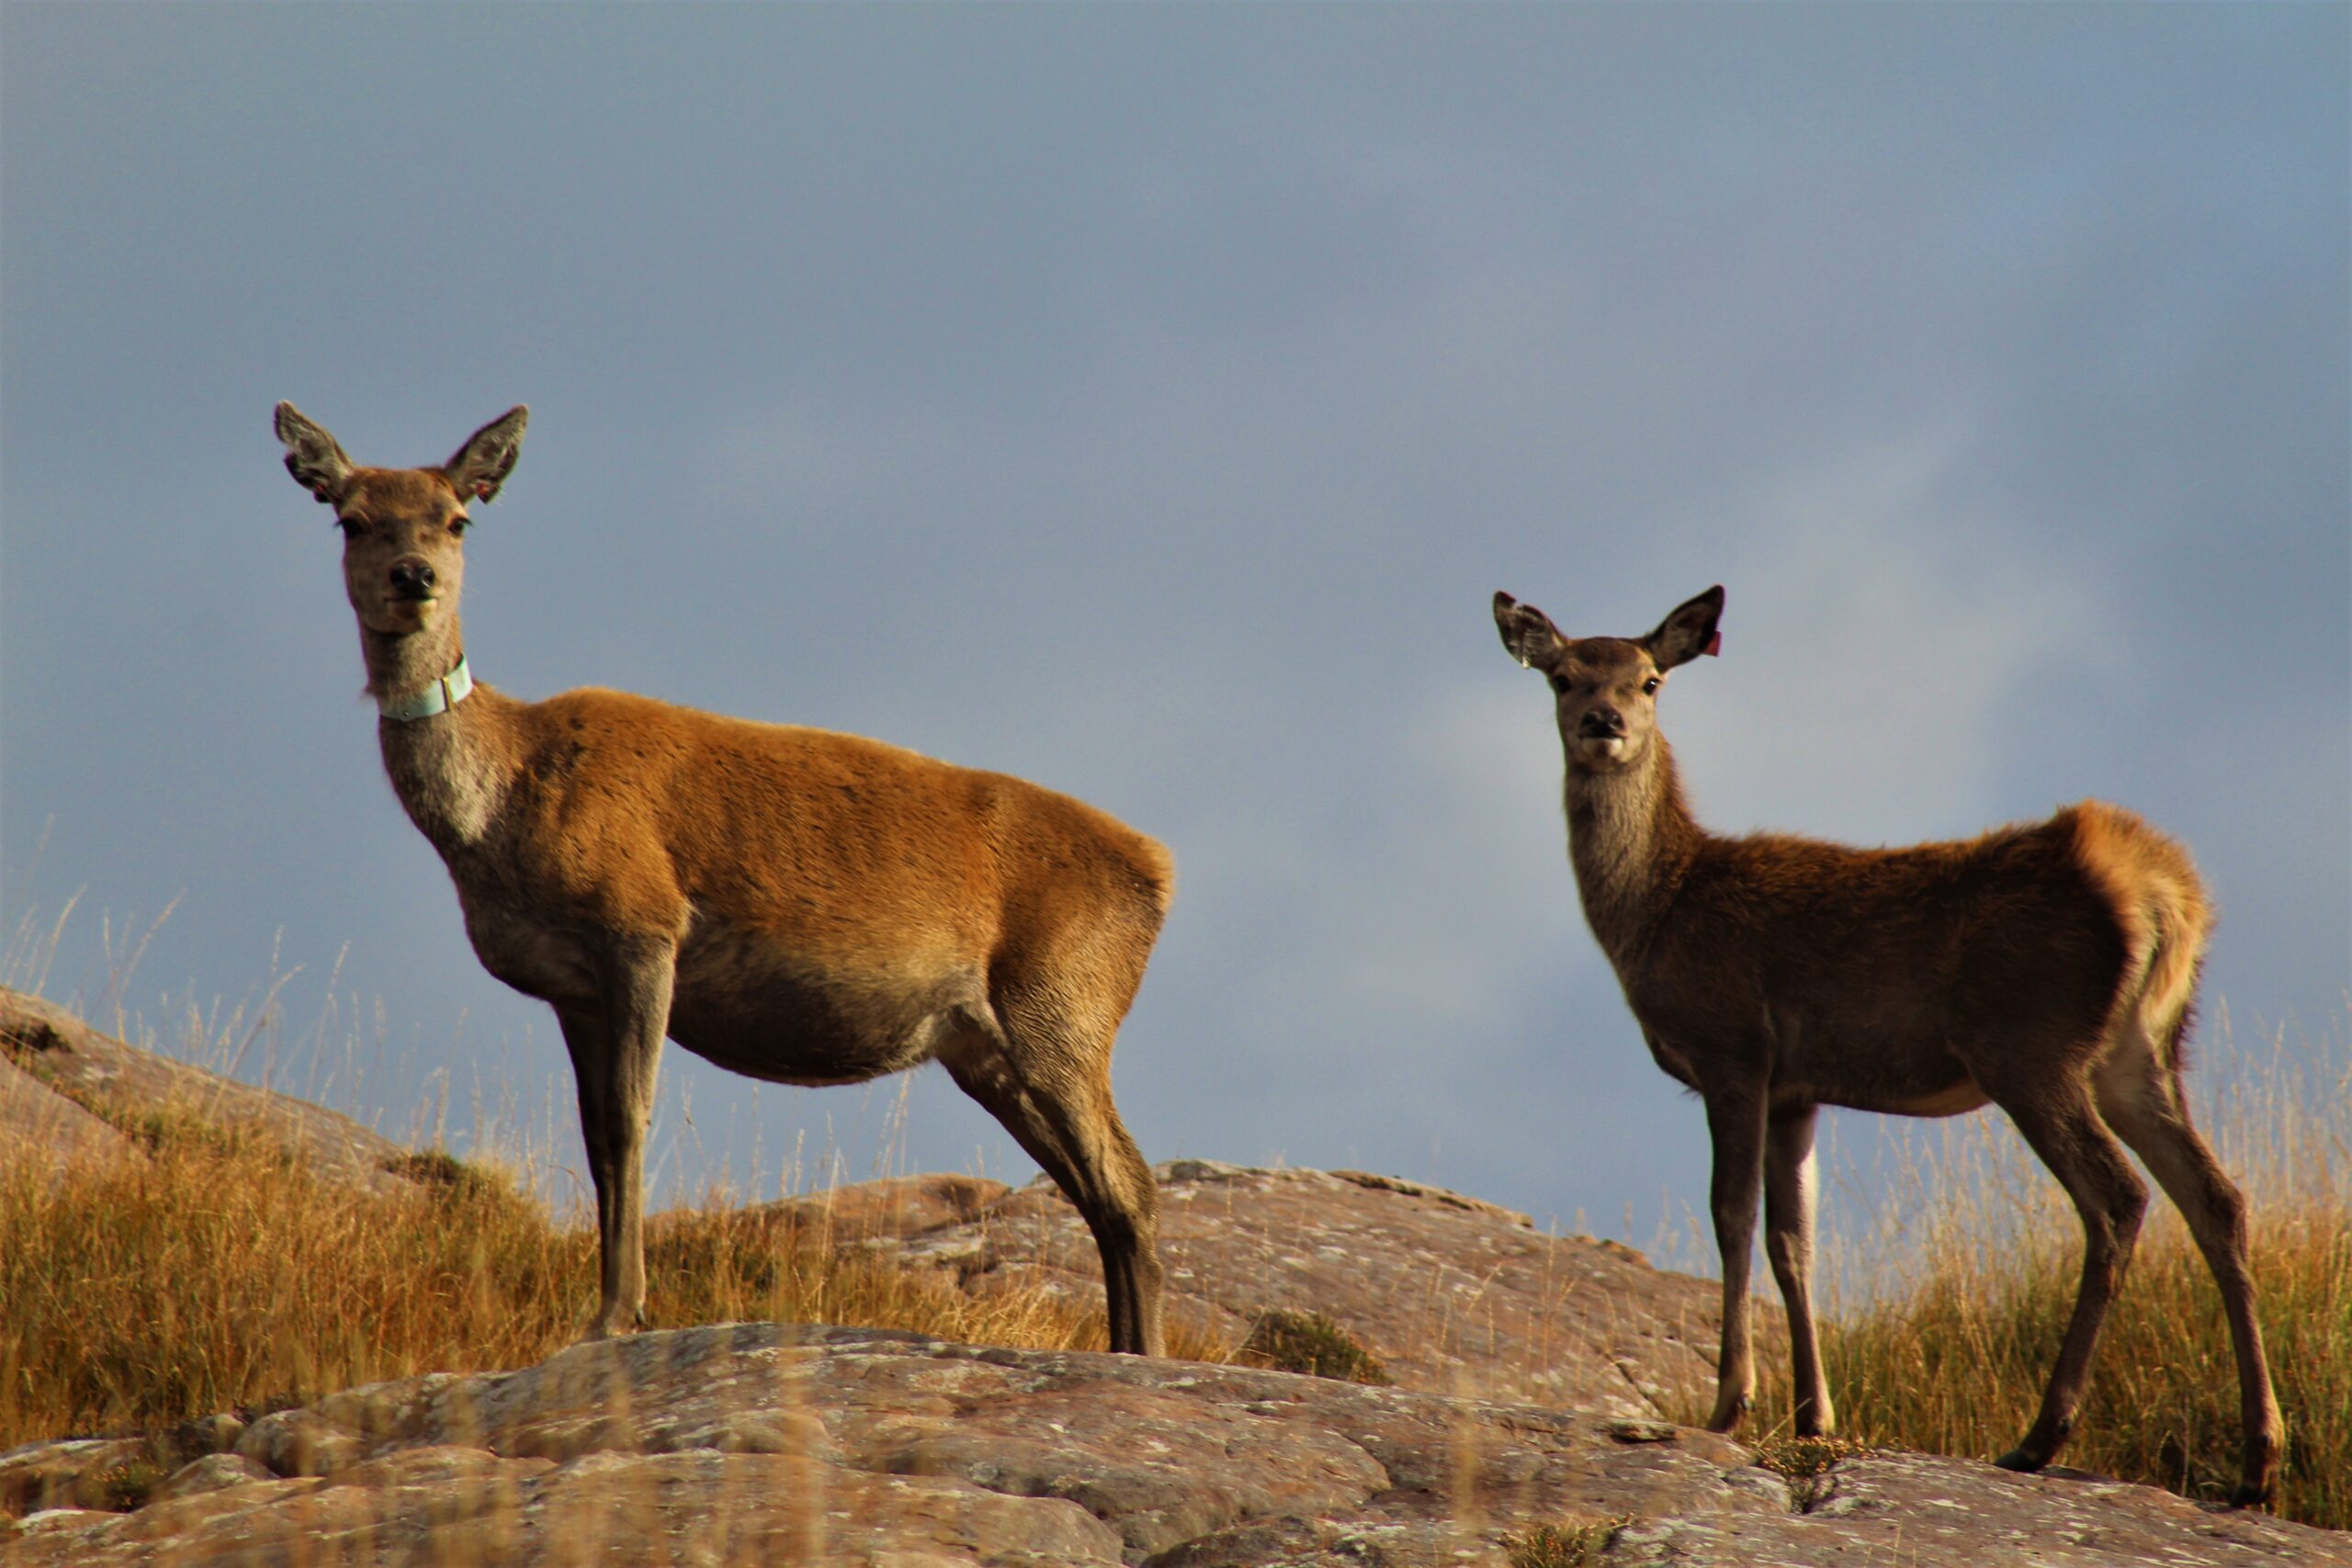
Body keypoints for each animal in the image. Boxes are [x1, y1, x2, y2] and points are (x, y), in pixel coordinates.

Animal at [277, 404, 1176, 1354]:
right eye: (351, 518)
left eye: (457, 518)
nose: (412, 577)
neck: (502, 809)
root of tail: (1160, 872)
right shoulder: (572, 988)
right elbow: (594, 1135)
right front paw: (608, 1307)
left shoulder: (642, 919)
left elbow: (630, 1119)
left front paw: (618, 1313)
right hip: (988, 1046)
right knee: (1099, 1191)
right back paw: (1126, 1349)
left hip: (1065, 1001)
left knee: (1129, 1179)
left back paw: (1145, 1354)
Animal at [1486, 585, 2277, 1504]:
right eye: (1564, 675)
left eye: (1650, 680)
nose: (1604, 721)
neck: (1660, 910)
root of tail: (2160, 892)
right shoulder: (1797, 1090)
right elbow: (1796, 1238)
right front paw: (1813, 1414)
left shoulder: (1733, 1049)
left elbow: (1731, 1215)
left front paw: (1729, 1402)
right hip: (2141, 1051)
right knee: (2218, 1198)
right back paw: (2258, 1461)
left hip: (2029, 1044)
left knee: (2118, 1197)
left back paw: (2040, 1436)